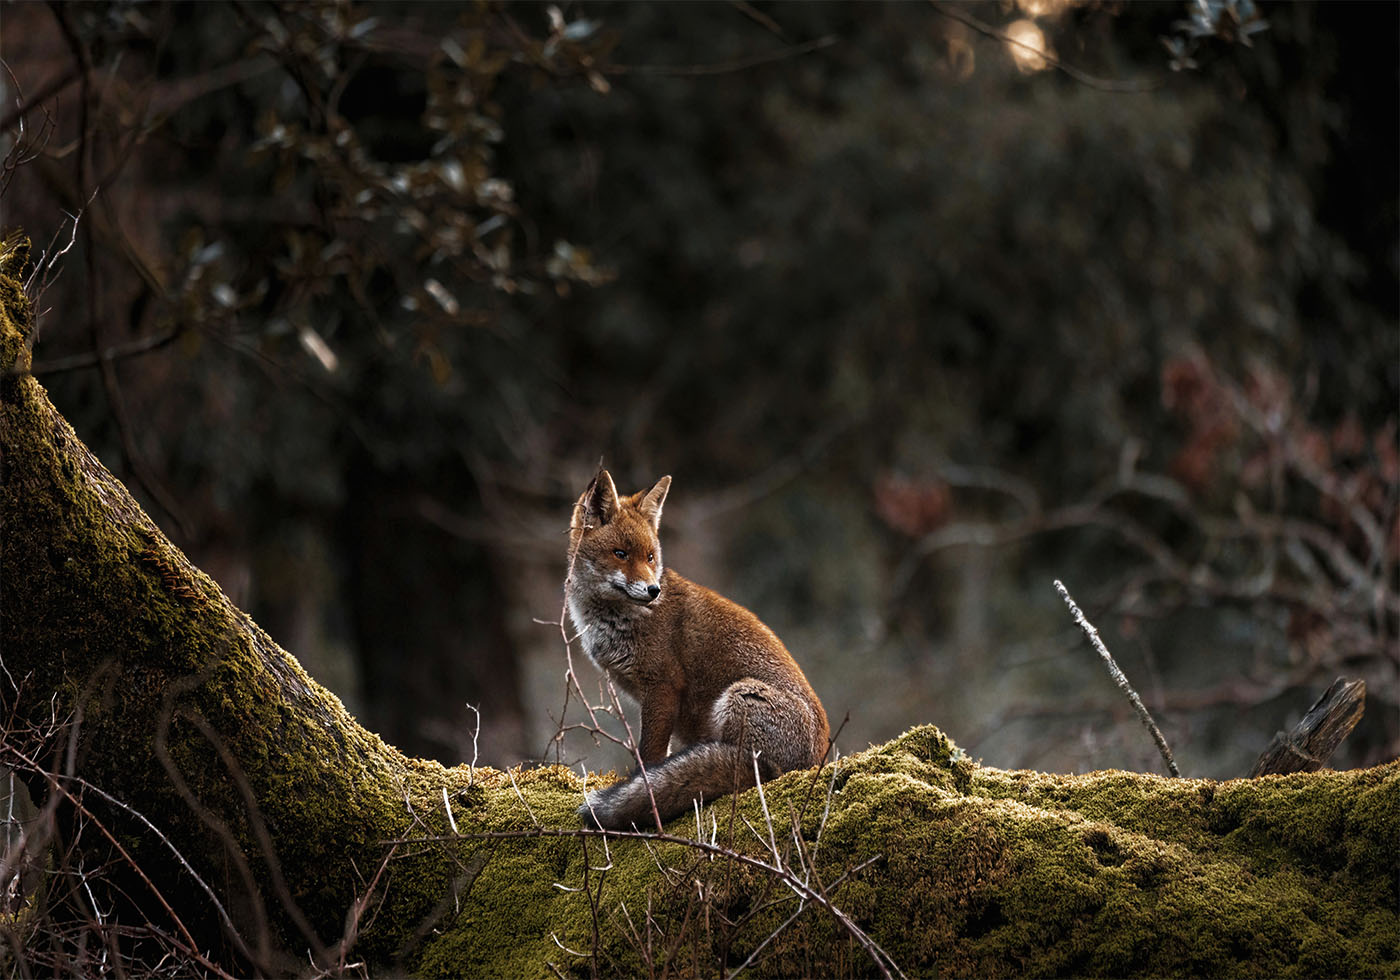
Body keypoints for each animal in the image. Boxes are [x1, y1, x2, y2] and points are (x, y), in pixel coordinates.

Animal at [568, 470, 828, 828]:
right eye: (620, 554)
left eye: (650, 557)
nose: (653, 590)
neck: (615, 619)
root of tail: (817, 760)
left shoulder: (663, 686)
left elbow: (649, 756)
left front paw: (644, 790)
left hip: (740, 697)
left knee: (751, 770)